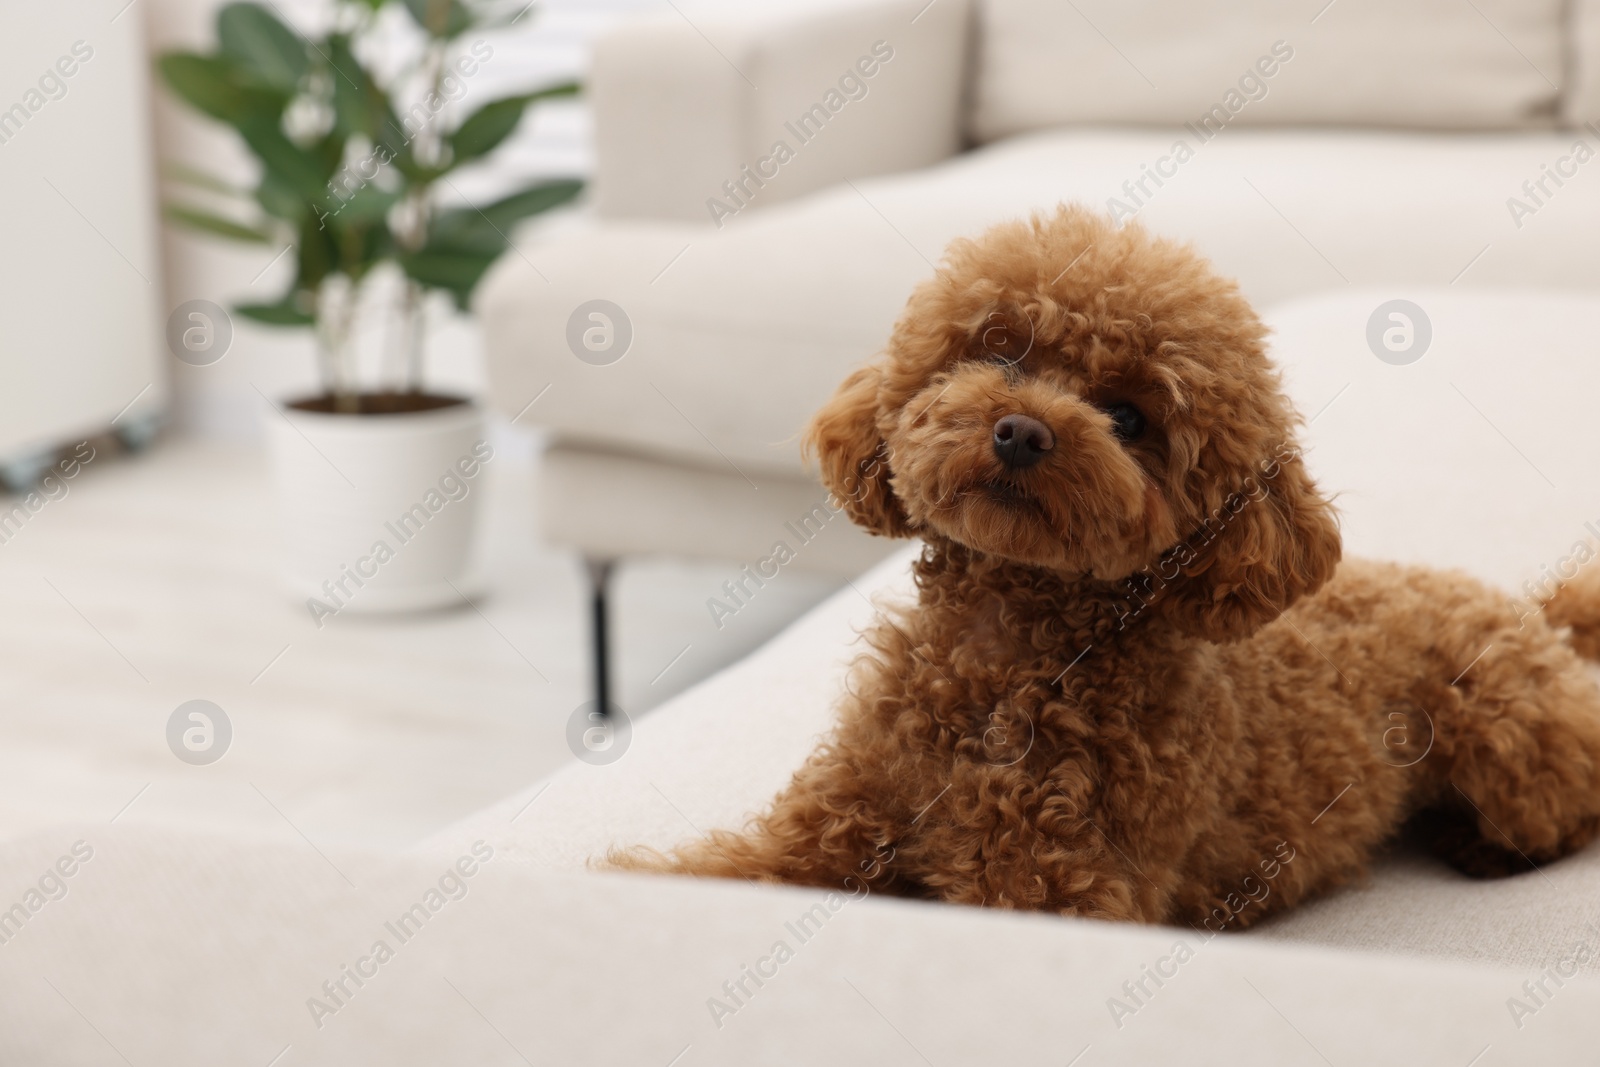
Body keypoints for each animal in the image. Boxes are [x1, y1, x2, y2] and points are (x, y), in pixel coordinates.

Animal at [608, 204, 1600, 927]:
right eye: (999, 350)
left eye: (1129, 418)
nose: (1020, 430)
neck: (1005, 650)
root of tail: (1530, 611)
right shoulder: (830, 825)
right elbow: (724, 870)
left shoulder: (1050, 888)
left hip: (1507, 737)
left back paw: (1488, 847)